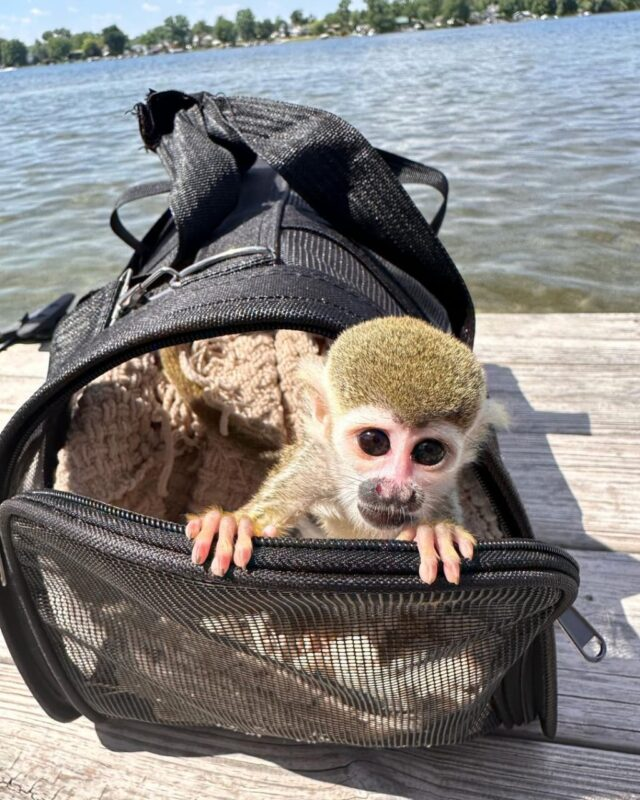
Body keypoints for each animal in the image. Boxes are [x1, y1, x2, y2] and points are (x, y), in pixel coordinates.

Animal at [185, 316, 506, 585]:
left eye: (428, 451)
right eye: (373, 441)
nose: (395, 490)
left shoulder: (442, 490)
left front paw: (436, 532)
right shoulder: (319, 461)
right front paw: (234, 525)